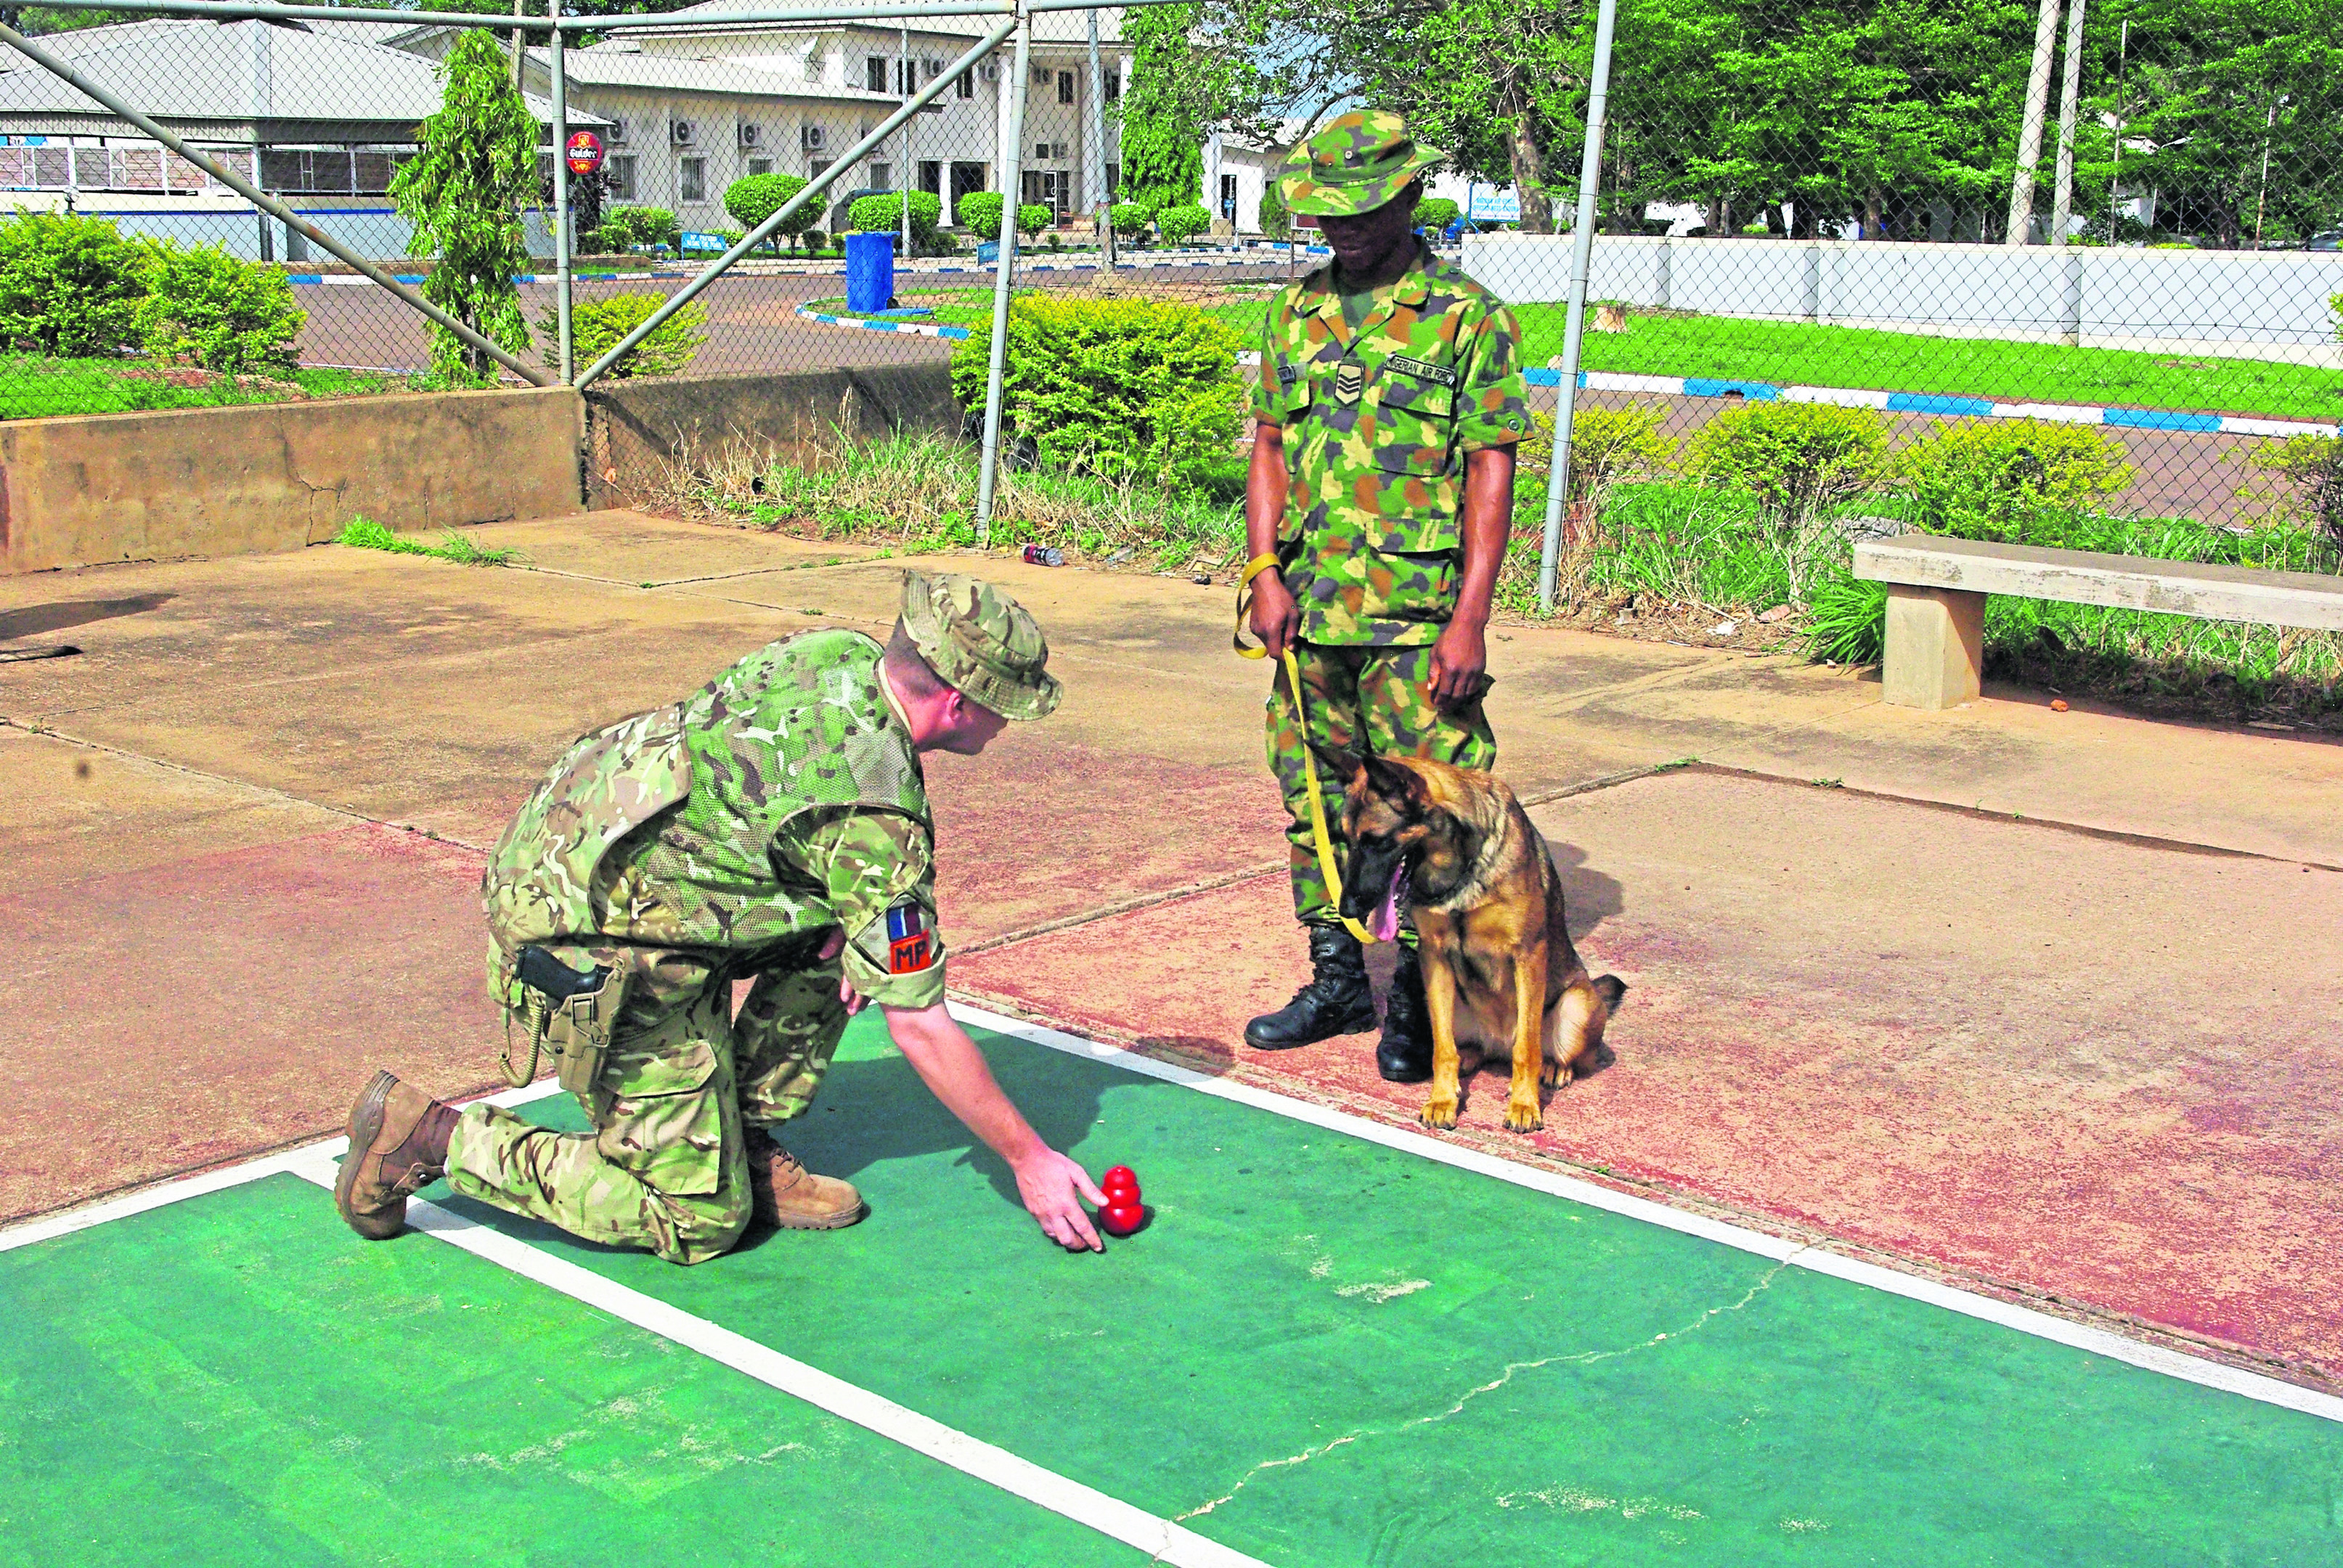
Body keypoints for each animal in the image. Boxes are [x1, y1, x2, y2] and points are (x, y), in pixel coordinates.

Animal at [1340, 750, 1630, 1130]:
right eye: (1346, 840)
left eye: (1377, 840)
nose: (1345, 908)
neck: (1461, 871)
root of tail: (1498, 1044)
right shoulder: (1434, 958)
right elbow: (1442, 1048)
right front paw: (1442, 1098)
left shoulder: (1528, 955)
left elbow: (1528, 1048)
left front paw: (1524, 1104)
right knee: (1464, 1046)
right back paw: (1467, 1060)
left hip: (1577, 1005)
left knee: (1556, 1052)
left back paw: (1555, 1069)